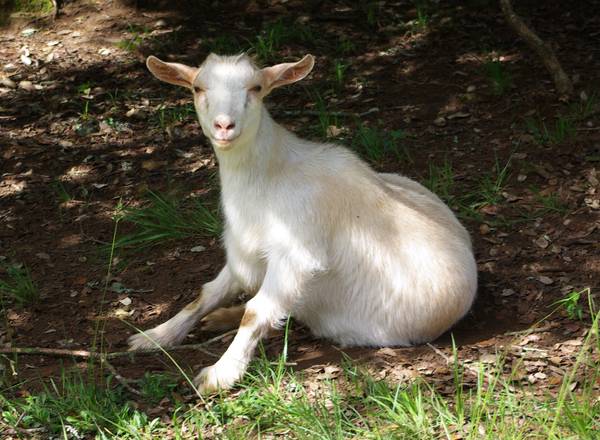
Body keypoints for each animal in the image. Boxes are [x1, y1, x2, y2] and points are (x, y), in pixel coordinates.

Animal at [129, 53, 476, 394]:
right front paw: (154, 336)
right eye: (198, 88)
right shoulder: (246, 248)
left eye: (256, 87)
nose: (224, 125)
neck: (270, 177)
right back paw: (219, 317)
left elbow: (256, 312)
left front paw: (220, 374)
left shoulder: (295, 252)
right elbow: (207, 294)